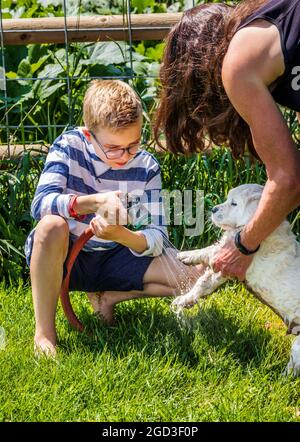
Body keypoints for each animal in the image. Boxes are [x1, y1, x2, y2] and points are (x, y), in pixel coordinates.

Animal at [171, 183, 300, 376]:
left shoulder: (228, 255)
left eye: (234, 203)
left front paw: (186, 255)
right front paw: (184, 300)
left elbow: (208, 251)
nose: (213, 209)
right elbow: (204, 283)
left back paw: (280, 379)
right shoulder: (228, 264)